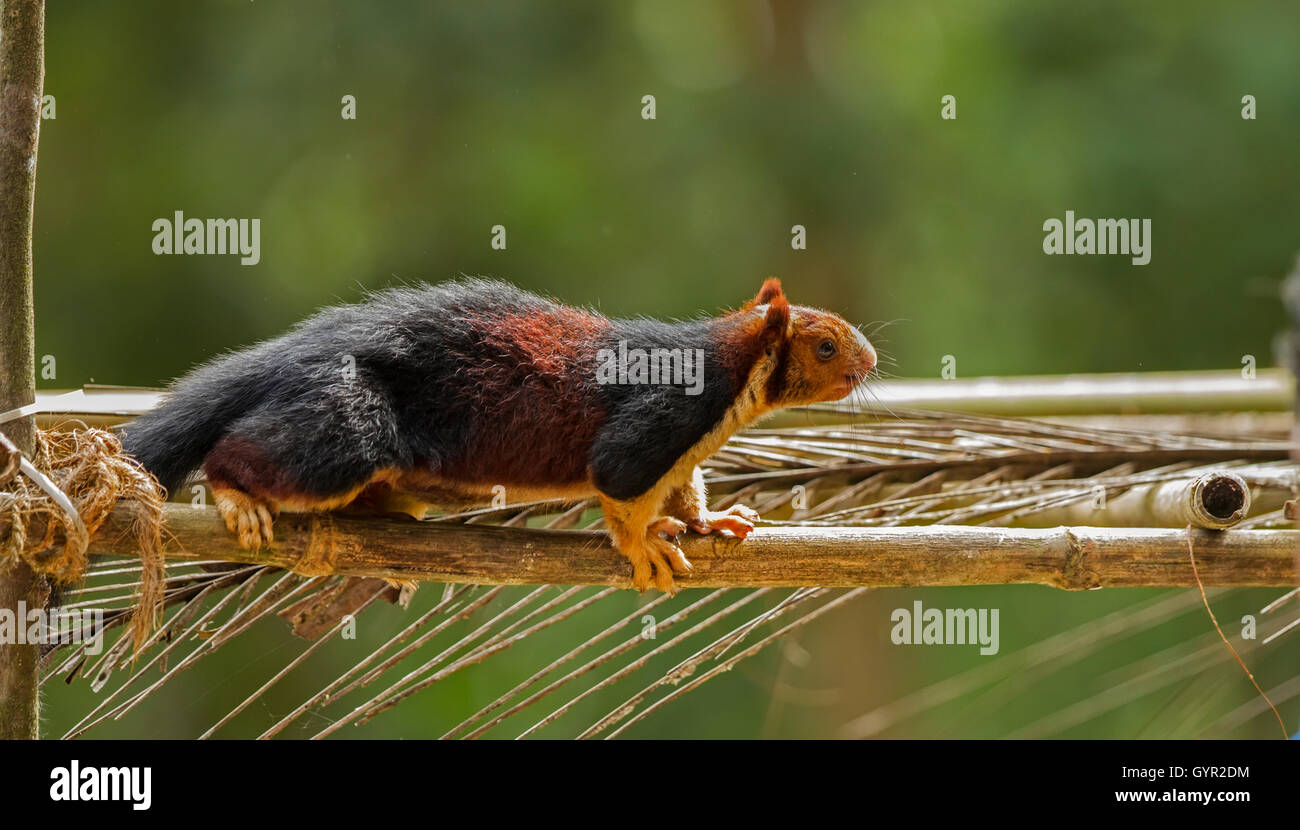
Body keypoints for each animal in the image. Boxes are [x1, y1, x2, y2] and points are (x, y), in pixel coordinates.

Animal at [121, 277, 876, 593]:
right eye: (826, 346)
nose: (869, 361)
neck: (732, 371)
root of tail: (298, 352)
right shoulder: (662, 414)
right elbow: (620, 482)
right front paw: (642, 547)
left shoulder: (684, 446)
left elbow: (683, 488)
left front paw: (708, 519)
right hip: (347, 425)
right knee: (246, 451)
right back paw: (238, 495)